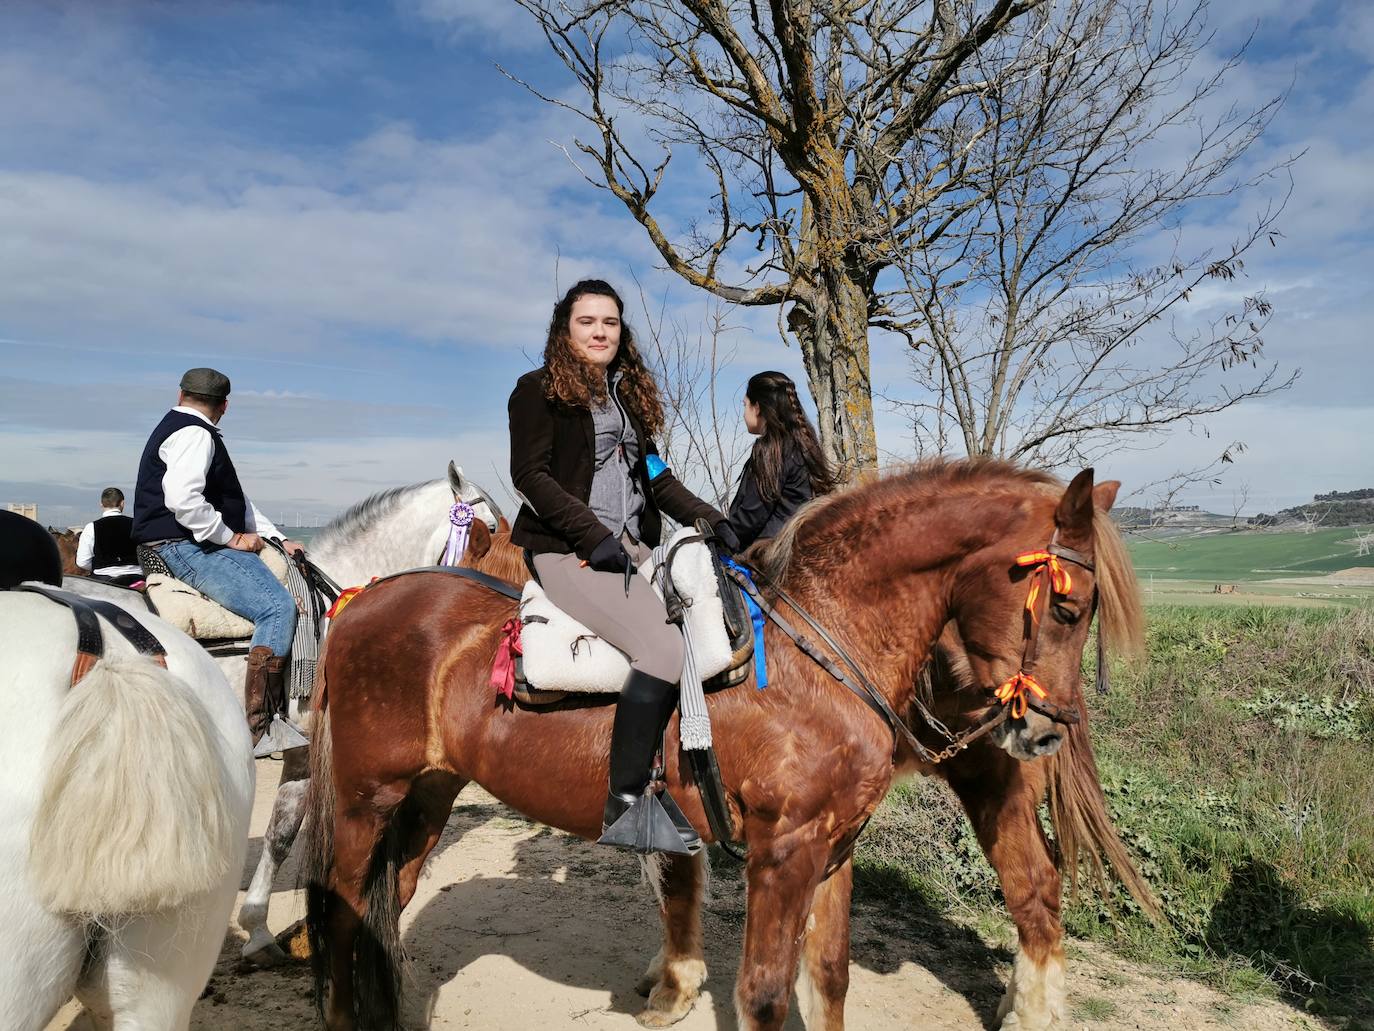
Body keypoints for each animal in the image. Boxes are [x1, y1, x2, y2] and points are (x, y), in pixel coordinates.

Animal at [300, 464, 1148, 1028]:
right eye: (1067, 607)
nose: (1047, 727)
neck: (820, 642)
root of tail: (362, 602)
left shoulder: (832, 847)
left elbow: (827, 977)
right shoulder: (783, 851)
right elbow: (762, 992)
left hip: (427, 794)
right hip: (367, 798)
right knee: (342, 907)